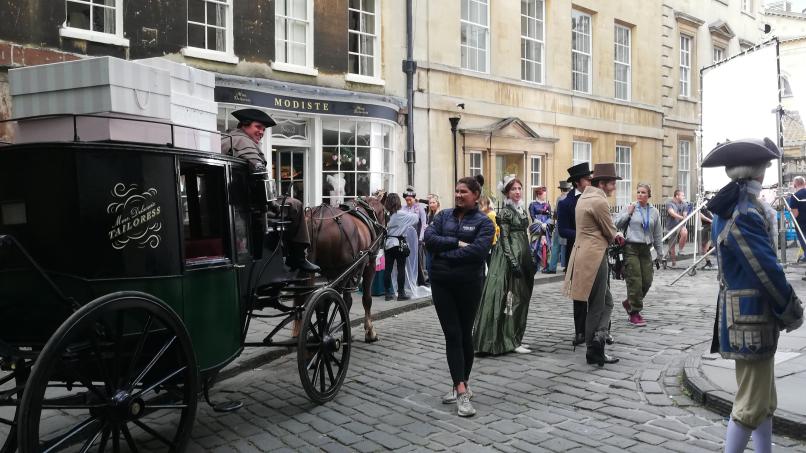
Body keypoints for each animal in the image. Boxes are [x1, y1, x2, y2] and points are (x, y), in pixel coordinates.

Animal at [308, 196, 386, 340]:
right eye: (385, 212)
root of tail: (317, 219)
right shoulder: (369, 265)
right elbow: (365, 299)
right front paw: (370, 332)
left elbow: (342, 301)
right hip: (343, 270)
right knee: (329, 301)